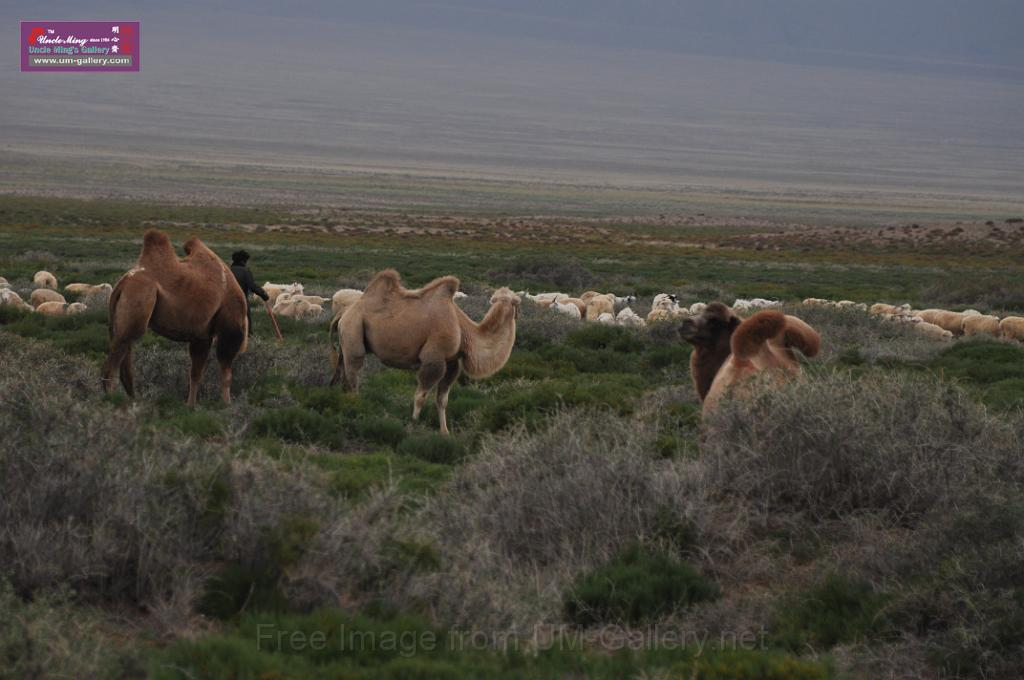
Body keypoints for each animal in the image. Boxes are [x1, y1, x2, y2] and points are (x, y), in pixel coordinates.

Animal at [102, 229, 248, 406]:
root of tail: (122, 284)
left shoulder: (202, 334)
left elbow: (195, 373)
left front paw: (190, 405)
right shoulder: (228, 327)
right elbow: (226, 371)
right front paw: (226, 404)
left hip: (120, 321)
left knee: (125, 363)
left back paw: (133, 400)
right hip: (138, 301)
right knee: (113, 365)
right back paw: (112, 401)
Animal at [330, 269, 520, 434]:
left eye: (515, 300)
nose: (513, 302)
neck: (463, 329)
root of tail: (344, 313)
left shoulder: (452, 362)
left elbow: (442, 400)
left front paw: (445, 431)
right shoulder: (434, 357)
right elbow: (420, 395)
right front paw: (413, 422)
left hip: (346, 339)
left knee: (342, 372)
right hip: (354, 329)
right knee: (353, 374)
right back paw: (357, 406)